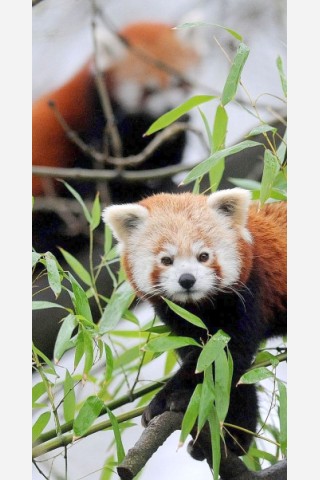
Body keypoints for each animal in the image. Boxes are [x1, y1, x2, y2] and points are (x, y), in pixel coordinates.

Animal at [103, 188, 288, 458]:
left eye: (203, 256)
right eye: (166, 260)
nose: (187, 279)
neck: (200, 306)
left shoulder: (250, 291)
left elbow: (221, 356)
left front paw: (169, 399)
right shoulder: (179, 319)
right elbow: (228, 371)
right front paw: (235, 434)